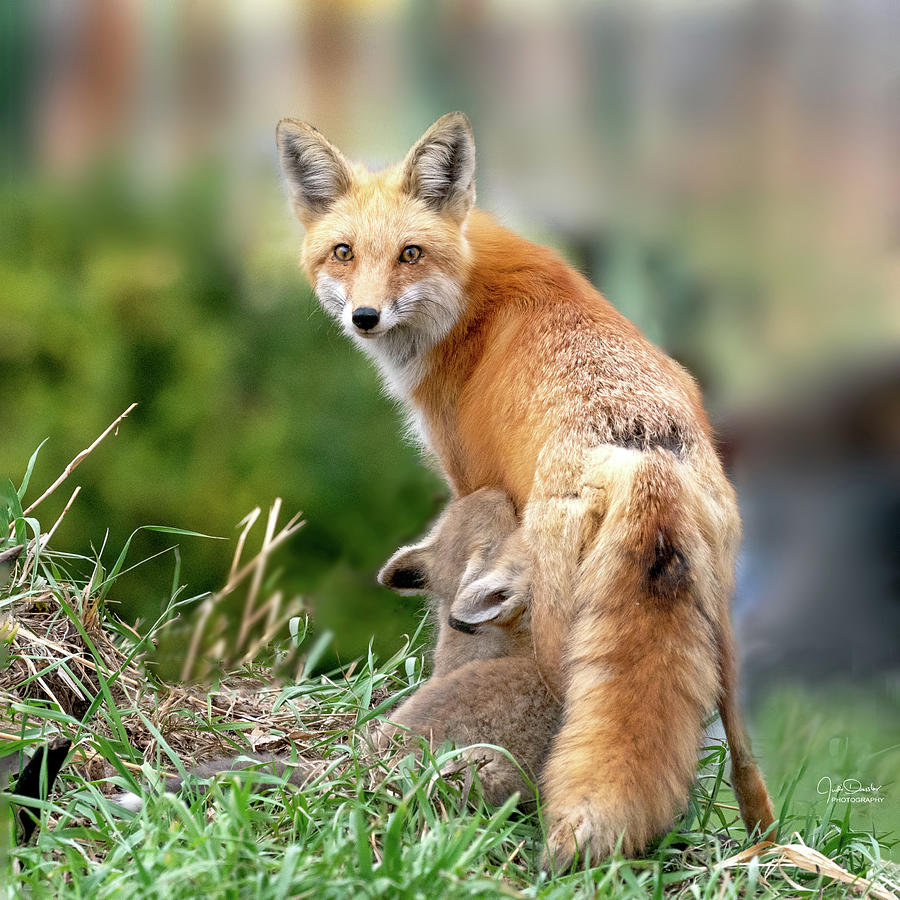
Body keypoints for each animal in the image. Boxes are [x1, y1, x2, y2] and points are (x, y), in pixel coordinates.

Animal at [276, 110, 772, 864]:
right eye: (343, 252)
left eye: (409, 254)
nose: (365, 316)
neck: (468, 297)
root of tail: (639, 455)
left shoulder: (468, 479)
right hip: (721, 632)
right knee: (741, 762)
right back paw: (758, 845)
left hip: (559, 629)